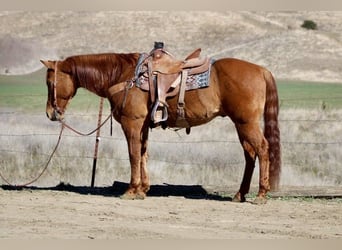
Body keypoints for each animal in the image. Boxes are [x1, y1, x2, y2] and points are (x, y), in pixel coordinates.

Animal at [40, 47, 280, 205]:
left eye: (50, 82)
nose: (51, 113)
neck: (123, 75)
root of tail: (261, 70)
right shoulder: (144, 126)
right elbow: (144, 154)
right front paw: (142, 190)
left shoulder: (132, 123)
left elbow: (133, 155)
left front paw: (131, 190)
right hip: (241, 124)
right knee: (250, 154)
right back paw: (240, 194)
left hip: (246, 123)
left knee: (262, 149)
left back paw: (260, 195)